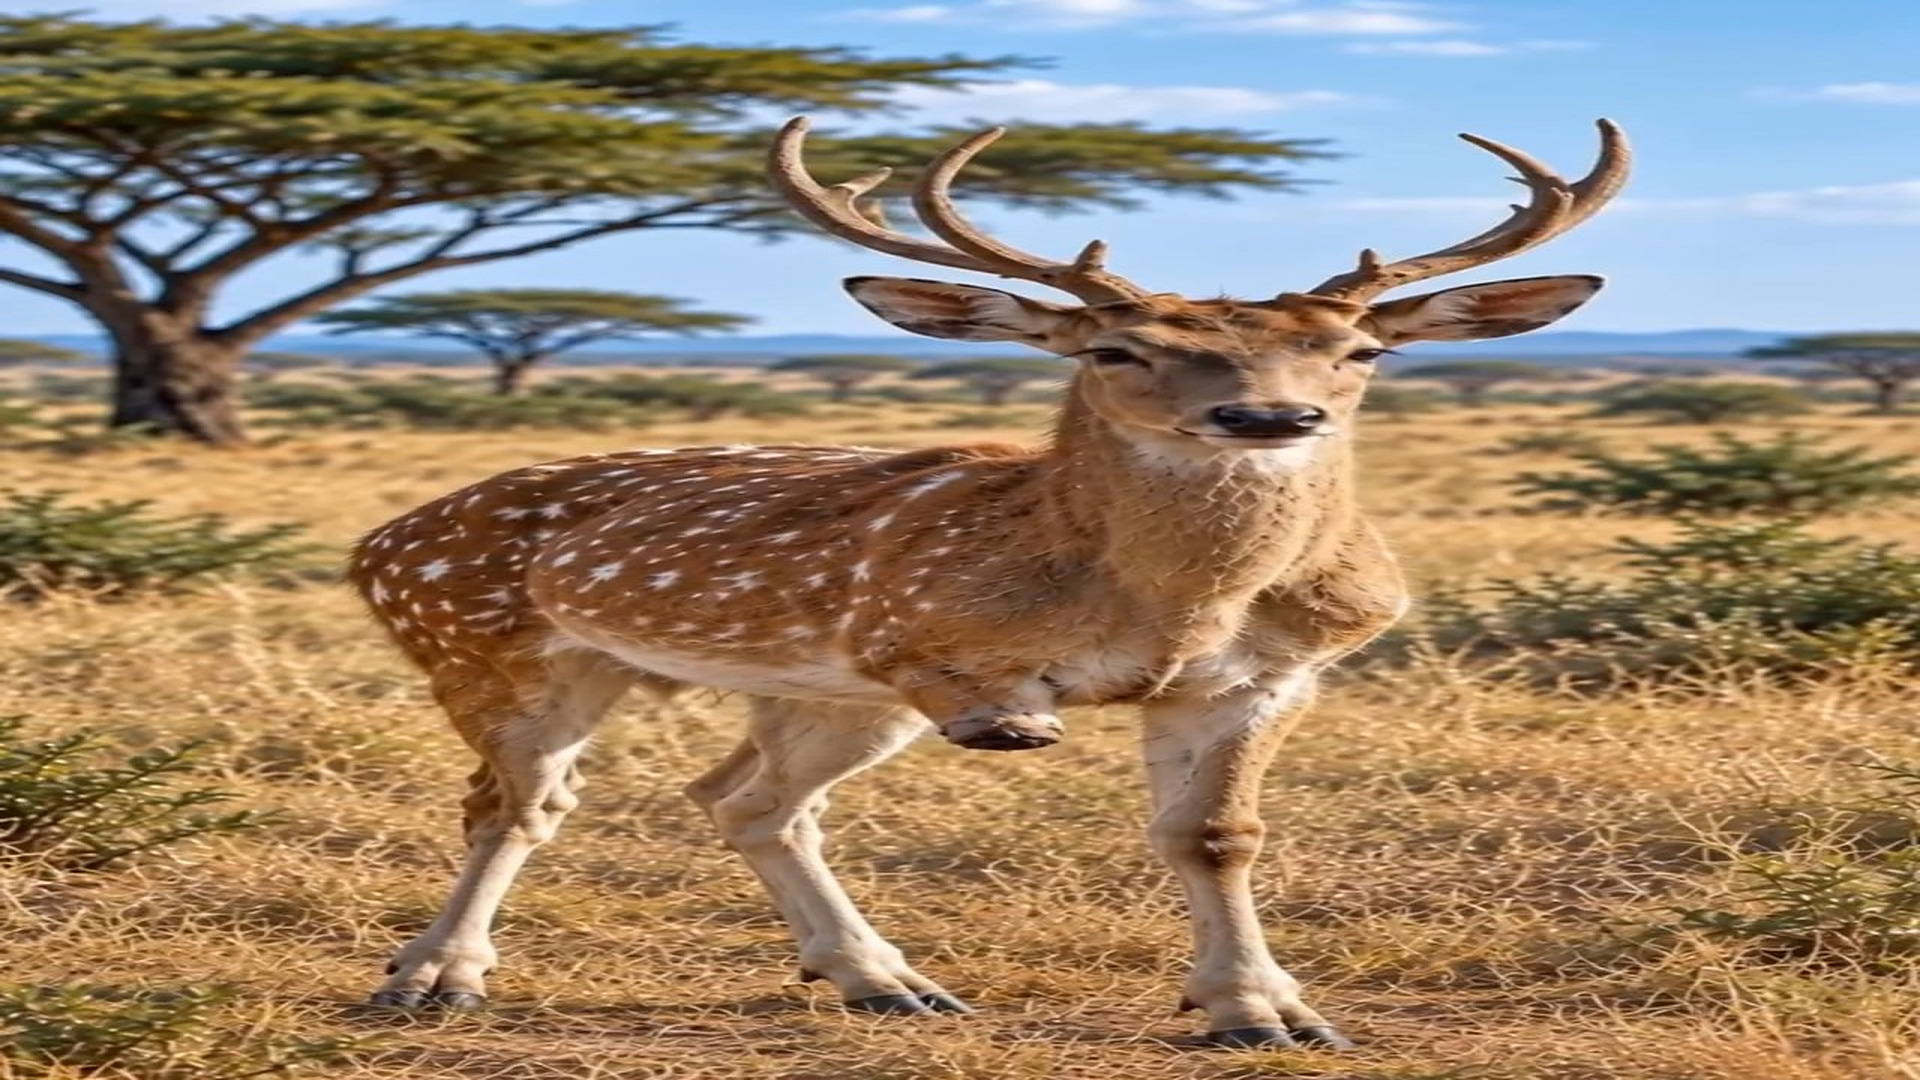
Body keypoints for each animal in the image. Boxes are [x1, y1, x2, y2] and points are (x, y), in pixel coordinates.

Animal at [348, 115, 1629, 1048]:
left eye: (1358, 350)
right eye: (1118, 348)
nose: (1269, 416)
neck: (1167, 603)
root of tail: (376, 546)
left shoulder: (1263, 676)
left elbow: (1216, 835)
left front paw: (1263, 1011)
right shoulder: (907, 638)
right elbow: (998, 703)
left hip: (806, 697)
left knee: (743, 800)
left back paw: (886, 981)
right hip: (493, 649)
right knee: (517, 803)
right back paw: (432, 980)